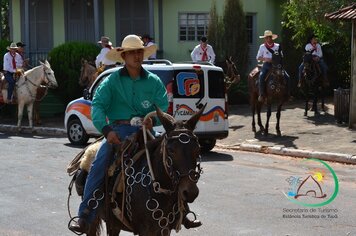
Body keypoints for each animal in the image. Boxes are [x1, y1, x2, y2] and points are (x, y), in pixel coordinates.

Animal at [76, 105, 206, 236]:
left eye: (198, 149)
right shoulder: (145, 231)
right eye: (171, 150)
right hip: (93, 221)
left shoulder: (165, 229)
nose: (190, 192)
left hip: (114, 224)